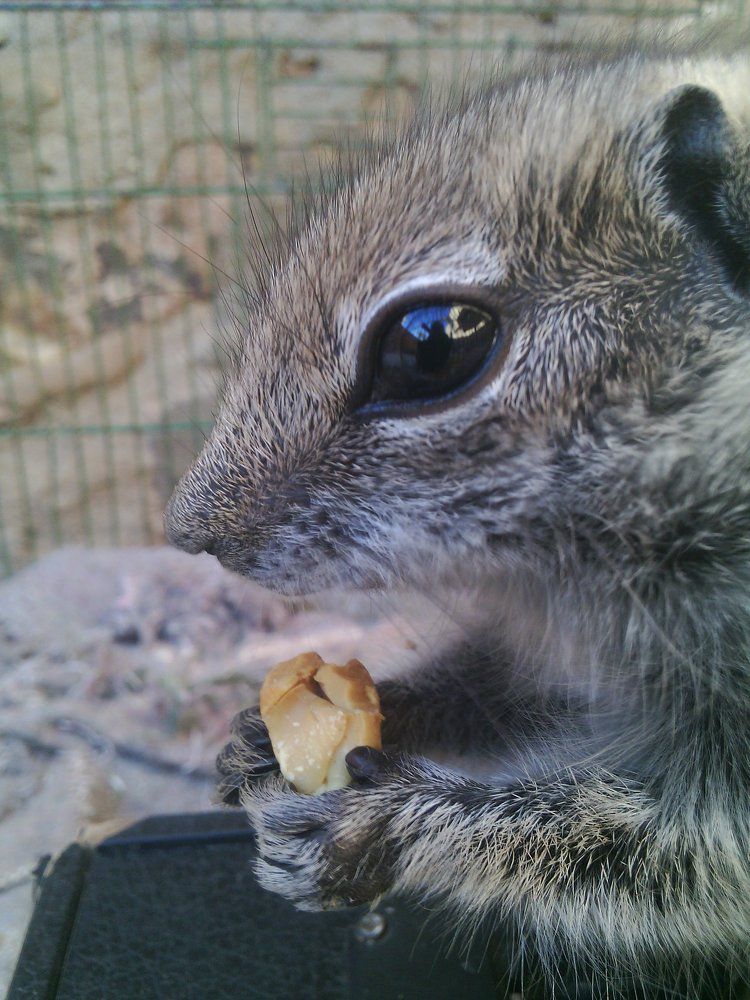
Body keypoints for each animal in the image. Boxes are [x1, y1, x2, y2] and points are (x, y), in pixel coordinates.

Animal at [164, 44, 750, 999]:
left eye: (433, 344)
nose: (188, 530)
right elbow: (483, 694)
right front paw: (293, 728)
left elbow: (671, 855)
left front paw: (381, 824)